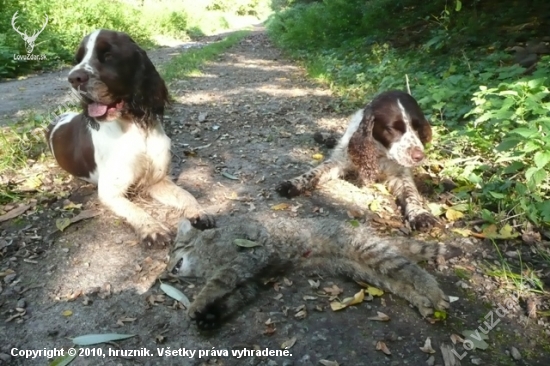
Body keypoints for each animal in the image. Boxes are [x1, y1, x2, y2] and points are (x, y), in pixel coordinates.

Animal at [45, 29, 216, 246]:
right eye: (78, 59)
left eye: (108, 55)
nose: (74, 78)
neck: (135, 127)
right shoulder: (110, 191)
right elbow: (135, 209)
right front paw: (152, 229)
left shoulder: (156, 180)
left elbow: (185, 194)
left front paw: (199, 212)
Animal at [278, 89, 442, 230]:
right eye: (392, 128)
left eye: (418, 127)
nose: (419, 156)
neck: (380, 152)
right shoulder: (339, 161)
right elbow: (313, 173)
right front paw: (293, 183)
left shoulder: (401, 172)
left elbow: (411, 193)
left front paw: (420, 214)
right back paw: (324, 136)